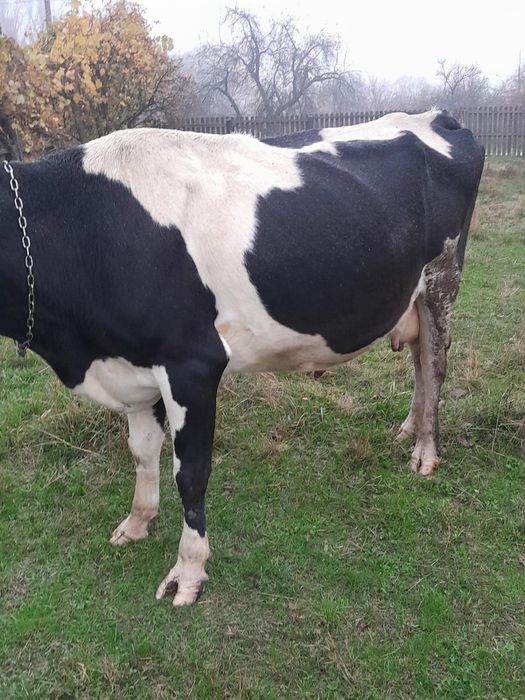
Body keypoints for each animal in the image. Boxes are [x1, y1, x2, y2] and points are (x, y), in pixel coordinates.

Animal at [0, 110, 484, 606]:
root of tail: (432, 115)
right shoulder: (134, 364)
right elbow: (142, 450)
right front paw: (137, 522)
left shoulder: (193, 363)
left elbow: (190, 473)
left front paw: (188, 570)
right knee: (419, 359)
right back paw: (409, 428)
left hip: (443, 278)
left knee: (435, 362)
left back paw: (426, 450)